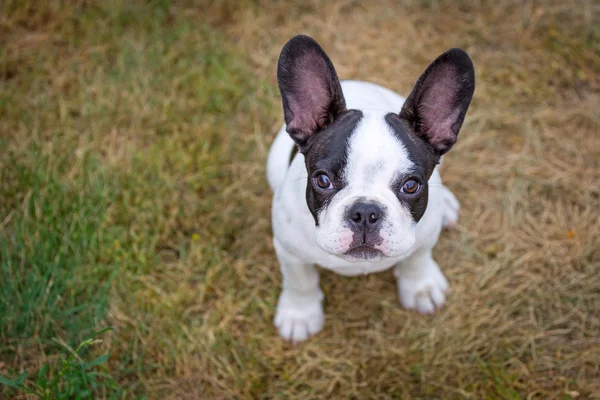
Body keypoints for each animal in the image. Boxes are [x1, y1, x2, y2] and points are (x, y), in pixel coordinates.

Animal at [268, 34, 474, 342]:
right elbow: (299, 280)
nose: (365, 212)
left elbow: (417, 259)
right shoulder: (289, 250)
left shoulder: (424, 238)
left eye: (411, 185)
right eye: (322, 180)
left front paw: (420, 287)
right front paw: (299, 314)